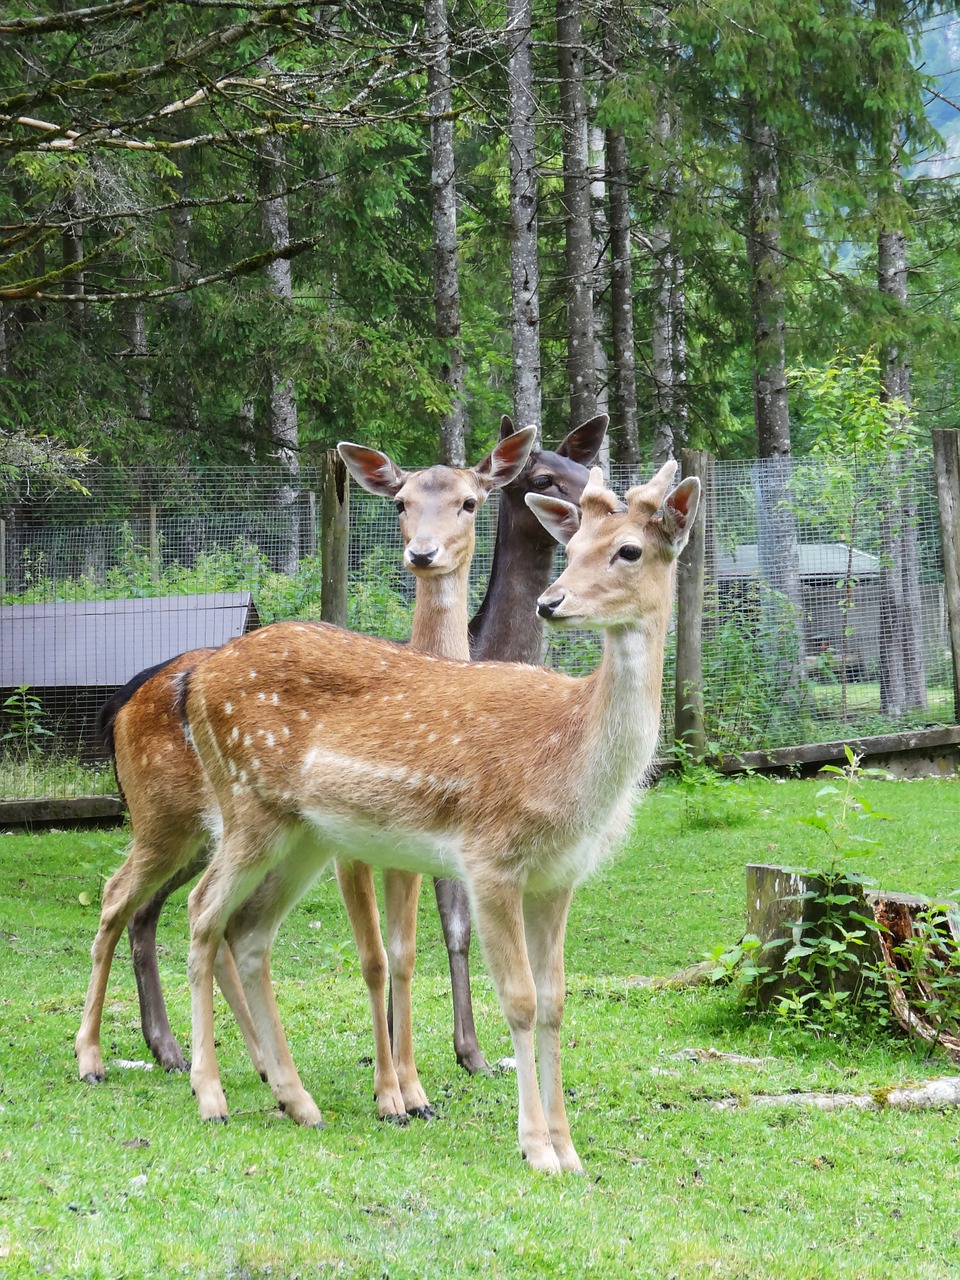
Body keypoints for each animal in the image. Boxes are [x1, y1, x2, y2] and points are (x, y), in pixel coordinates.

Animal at [76, 427, 537, 1121]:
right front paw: (390, 1094)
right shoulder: (351, 850)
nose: (422, 554)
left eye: (468, 501)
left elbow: (405, 955)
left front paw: (416, 1088)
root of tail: (120, 705)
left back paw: (211, 1060)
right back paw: (100, 1060)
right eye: (400, 502)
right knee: (124, 898)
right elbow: (373, 957)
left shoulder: (406, 852)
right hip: (164, 815)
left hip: (208, 832)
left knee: (176, 915)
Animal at [179, 460, 701, 1172]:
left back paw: (298, 1101)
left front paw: (570, 1150)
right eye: (569, 549)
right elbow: (519, 998)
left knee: (250, 929)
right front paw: (536, 1149)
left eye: (628, 550)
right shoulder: (489, 857)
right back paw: (211, 1095)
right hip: (245, 803)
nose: (552, 601)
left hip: (304, 833)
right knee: (202, 909)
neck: (570, 765)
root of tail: (194, 682)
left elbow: (556, 1002)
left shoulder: (559, 877)